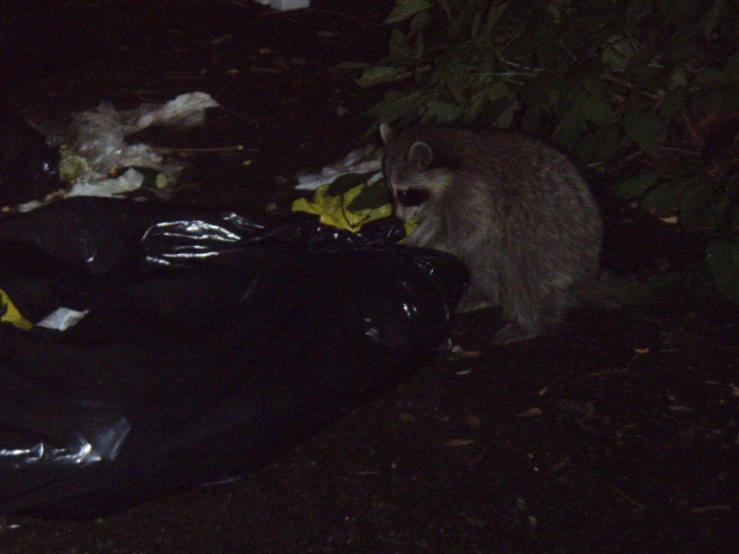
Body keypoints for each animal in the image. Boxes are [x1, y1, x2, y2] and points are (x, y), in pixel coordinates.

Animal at [382, 123, 608, 342]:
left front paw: (422, 247)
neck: (452, 167)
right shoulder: (445, 200)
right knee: (480, 256)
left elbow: (465, 229)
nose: (400, 219)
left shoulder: (473, 190)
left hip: (553, 239)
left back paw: (532, 323)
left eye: (405, 194)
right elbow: (438, 224)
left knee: (526, 276)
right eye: (391, 193)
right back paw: (483, 295)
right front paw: (411, 239)